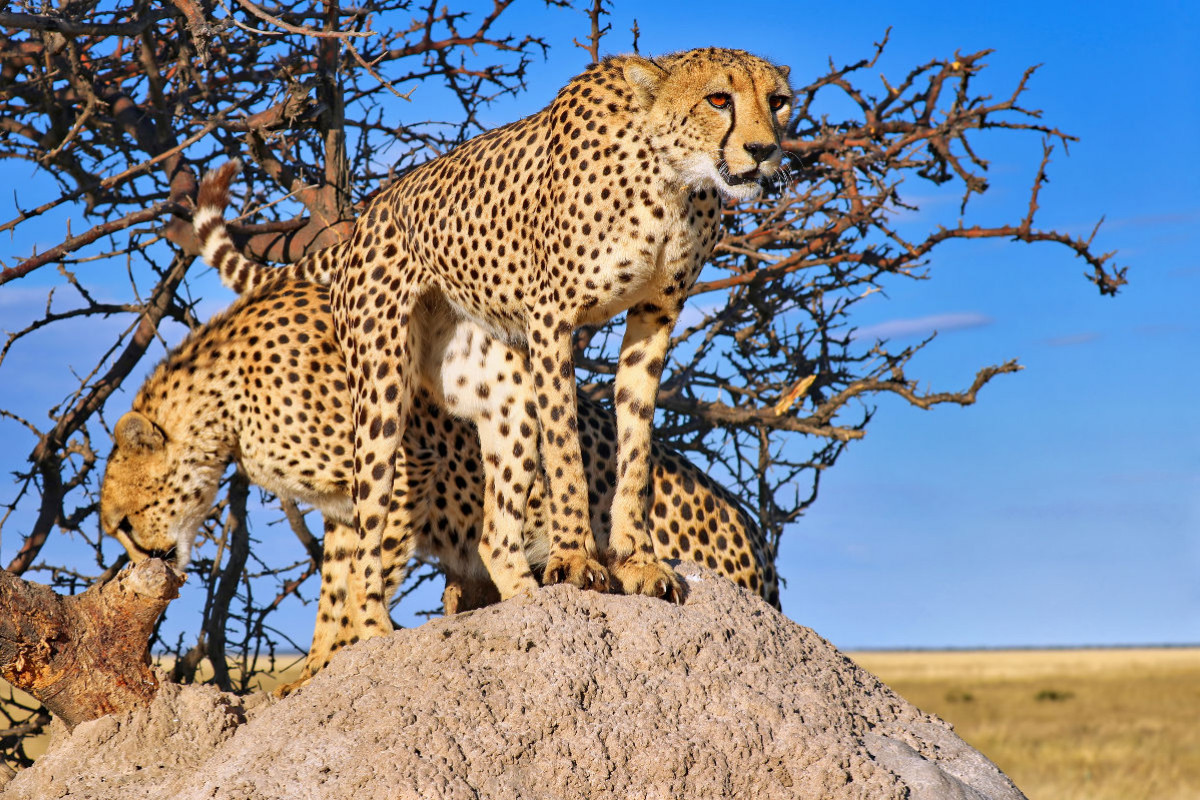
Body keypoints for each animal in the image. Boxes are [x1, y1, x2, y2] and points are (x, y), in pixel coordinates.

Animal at [100, 280, 777, 690]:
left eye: (125, 524)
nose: (148, 562)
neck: (219, 409)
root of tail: (752, 530)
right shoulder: (342, 505)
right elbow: (336, 583)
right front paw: (315, 669)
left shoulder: (406, 463)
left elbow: (367, 572)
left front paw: (358, 646)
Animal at [218, 48, 796, 642]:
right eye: (718, 99)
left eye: (778, 102)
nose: (764, 151)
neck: (672, 177)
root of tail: (369, 214)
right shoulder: (552, 319)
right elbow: (564, 449)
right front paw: (576, 560)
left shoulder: (656, 316)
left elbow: (635, 444)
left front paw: (637, 561)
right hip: (381, 391)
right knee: (363, 541)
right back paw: (378, 633)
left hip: (503, 389)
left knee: (493, 534)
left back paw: (523, 600)